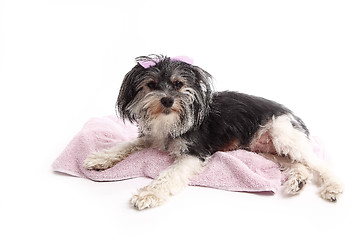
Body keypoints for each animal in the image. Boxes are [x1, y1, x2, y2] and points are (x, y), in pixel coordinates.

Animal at [83, 54, 344, 208]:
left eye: (178, 84)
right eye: (151, 85)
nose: (167, 100)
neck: (169, 121)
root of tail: (293, 115)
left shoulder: (193, 153)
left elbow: (168, 175)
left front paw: (148, 194)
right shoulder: (152, 137)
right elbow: (126, 144)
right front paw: (100, 158)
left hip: (283, 134)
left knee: (319, 164)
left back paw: (332, 187)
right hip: (265, 150)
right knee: (298, 164)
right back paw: (298, 181)